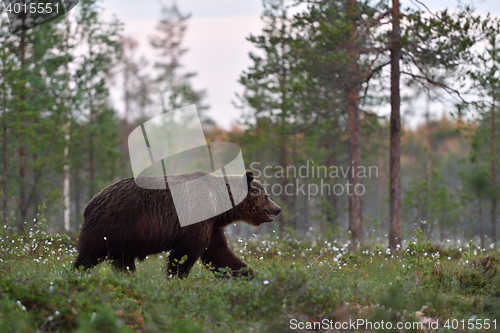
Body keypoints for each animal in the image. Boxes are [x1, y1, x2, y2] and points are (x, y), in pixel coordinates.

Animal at [73, 170, 282, 276]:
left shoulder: (212, 224)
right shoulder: (198, 213)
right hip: (114, 223)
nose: (278, 209)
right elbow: (187, 251)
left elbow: (219, 254)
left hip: (125, 236)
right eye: (266, 195)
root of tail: (92, 202)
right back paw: (77, 275)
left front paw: (249, 273)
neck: (219, 203)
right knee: (90, 253)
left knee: (122, 260)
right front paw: (175, 276)